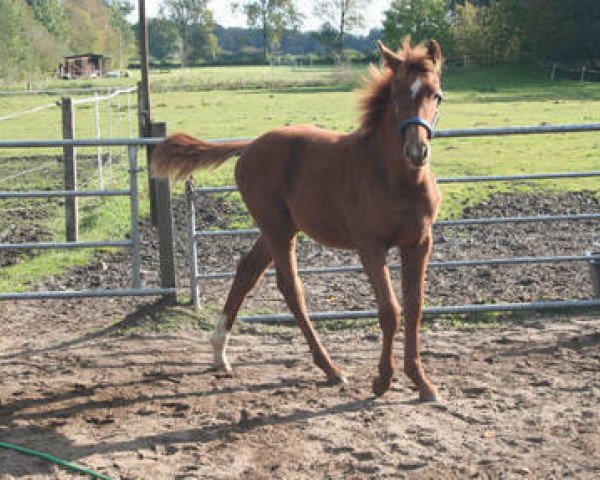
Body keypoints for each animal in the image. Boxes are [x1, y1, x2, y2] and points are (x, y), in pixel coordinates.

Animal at [154, 39, 446, 402]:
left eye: (436, 95)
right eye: (396, 96)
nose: (416, 152)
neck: (397, 179)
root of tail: (250, 146)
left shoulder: (419, 243)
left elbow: (415, 307)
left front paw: (422, 382)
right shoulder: (370, 247)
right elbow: (390, 310)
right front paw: (382, 380)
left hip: (278, 229)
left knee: (247, 271)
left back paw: (219, 353)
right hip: (278, 230)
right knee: (291, 289)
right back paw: (331, 369)